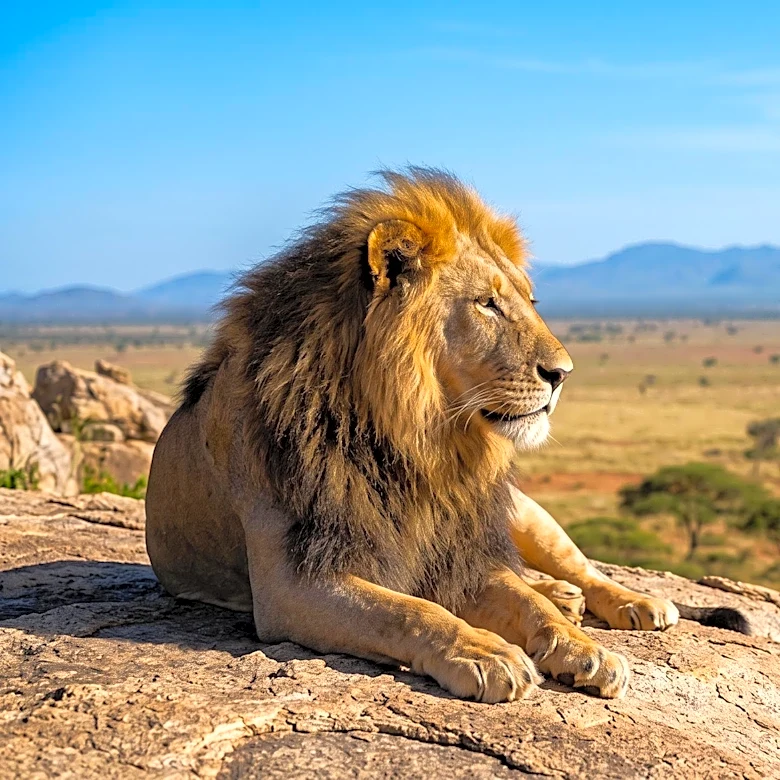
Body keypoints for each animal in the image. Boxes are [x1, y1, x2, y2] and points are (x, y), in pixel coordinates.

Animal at [145, 168, 739, 703]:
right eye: (487, 304)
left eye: (529, 302)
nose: (563, 374)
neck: (418, 444)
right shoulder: (292, 583)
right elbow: (410, 610)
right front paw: (485, 652)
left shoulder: (453, 548)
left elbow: (529, 605)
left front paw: (582, 647)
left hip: (522, 512)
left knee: (577, 568)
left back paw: (631, 603)